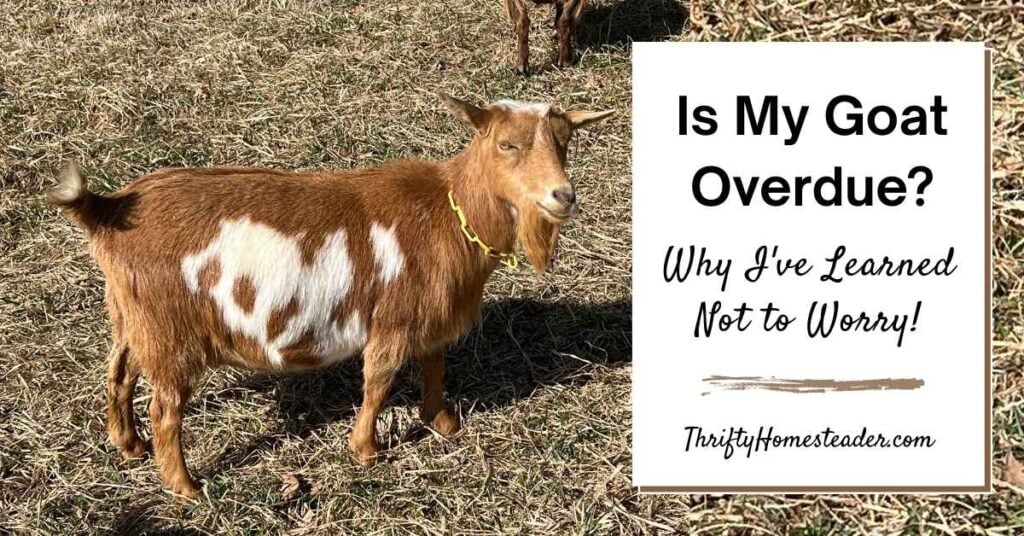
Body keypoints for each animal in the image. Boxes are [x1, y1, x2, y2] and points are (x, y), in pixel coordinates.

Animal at [48, 94, 614, 498]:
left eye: (565, 143)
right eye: (506, 145)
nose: (563, 196)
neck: (447, 211)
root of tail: (108, 209)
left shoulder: (430, 317)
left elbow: (434, 365)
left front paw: (443, 423)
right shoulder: (393, 320)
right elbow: (379, 381)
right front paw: (366, 451)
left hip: (132, 315)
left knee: (119, 372)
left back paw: (128, 446)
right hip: (171, 333)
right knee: (165, 409)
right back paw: (186, 487)